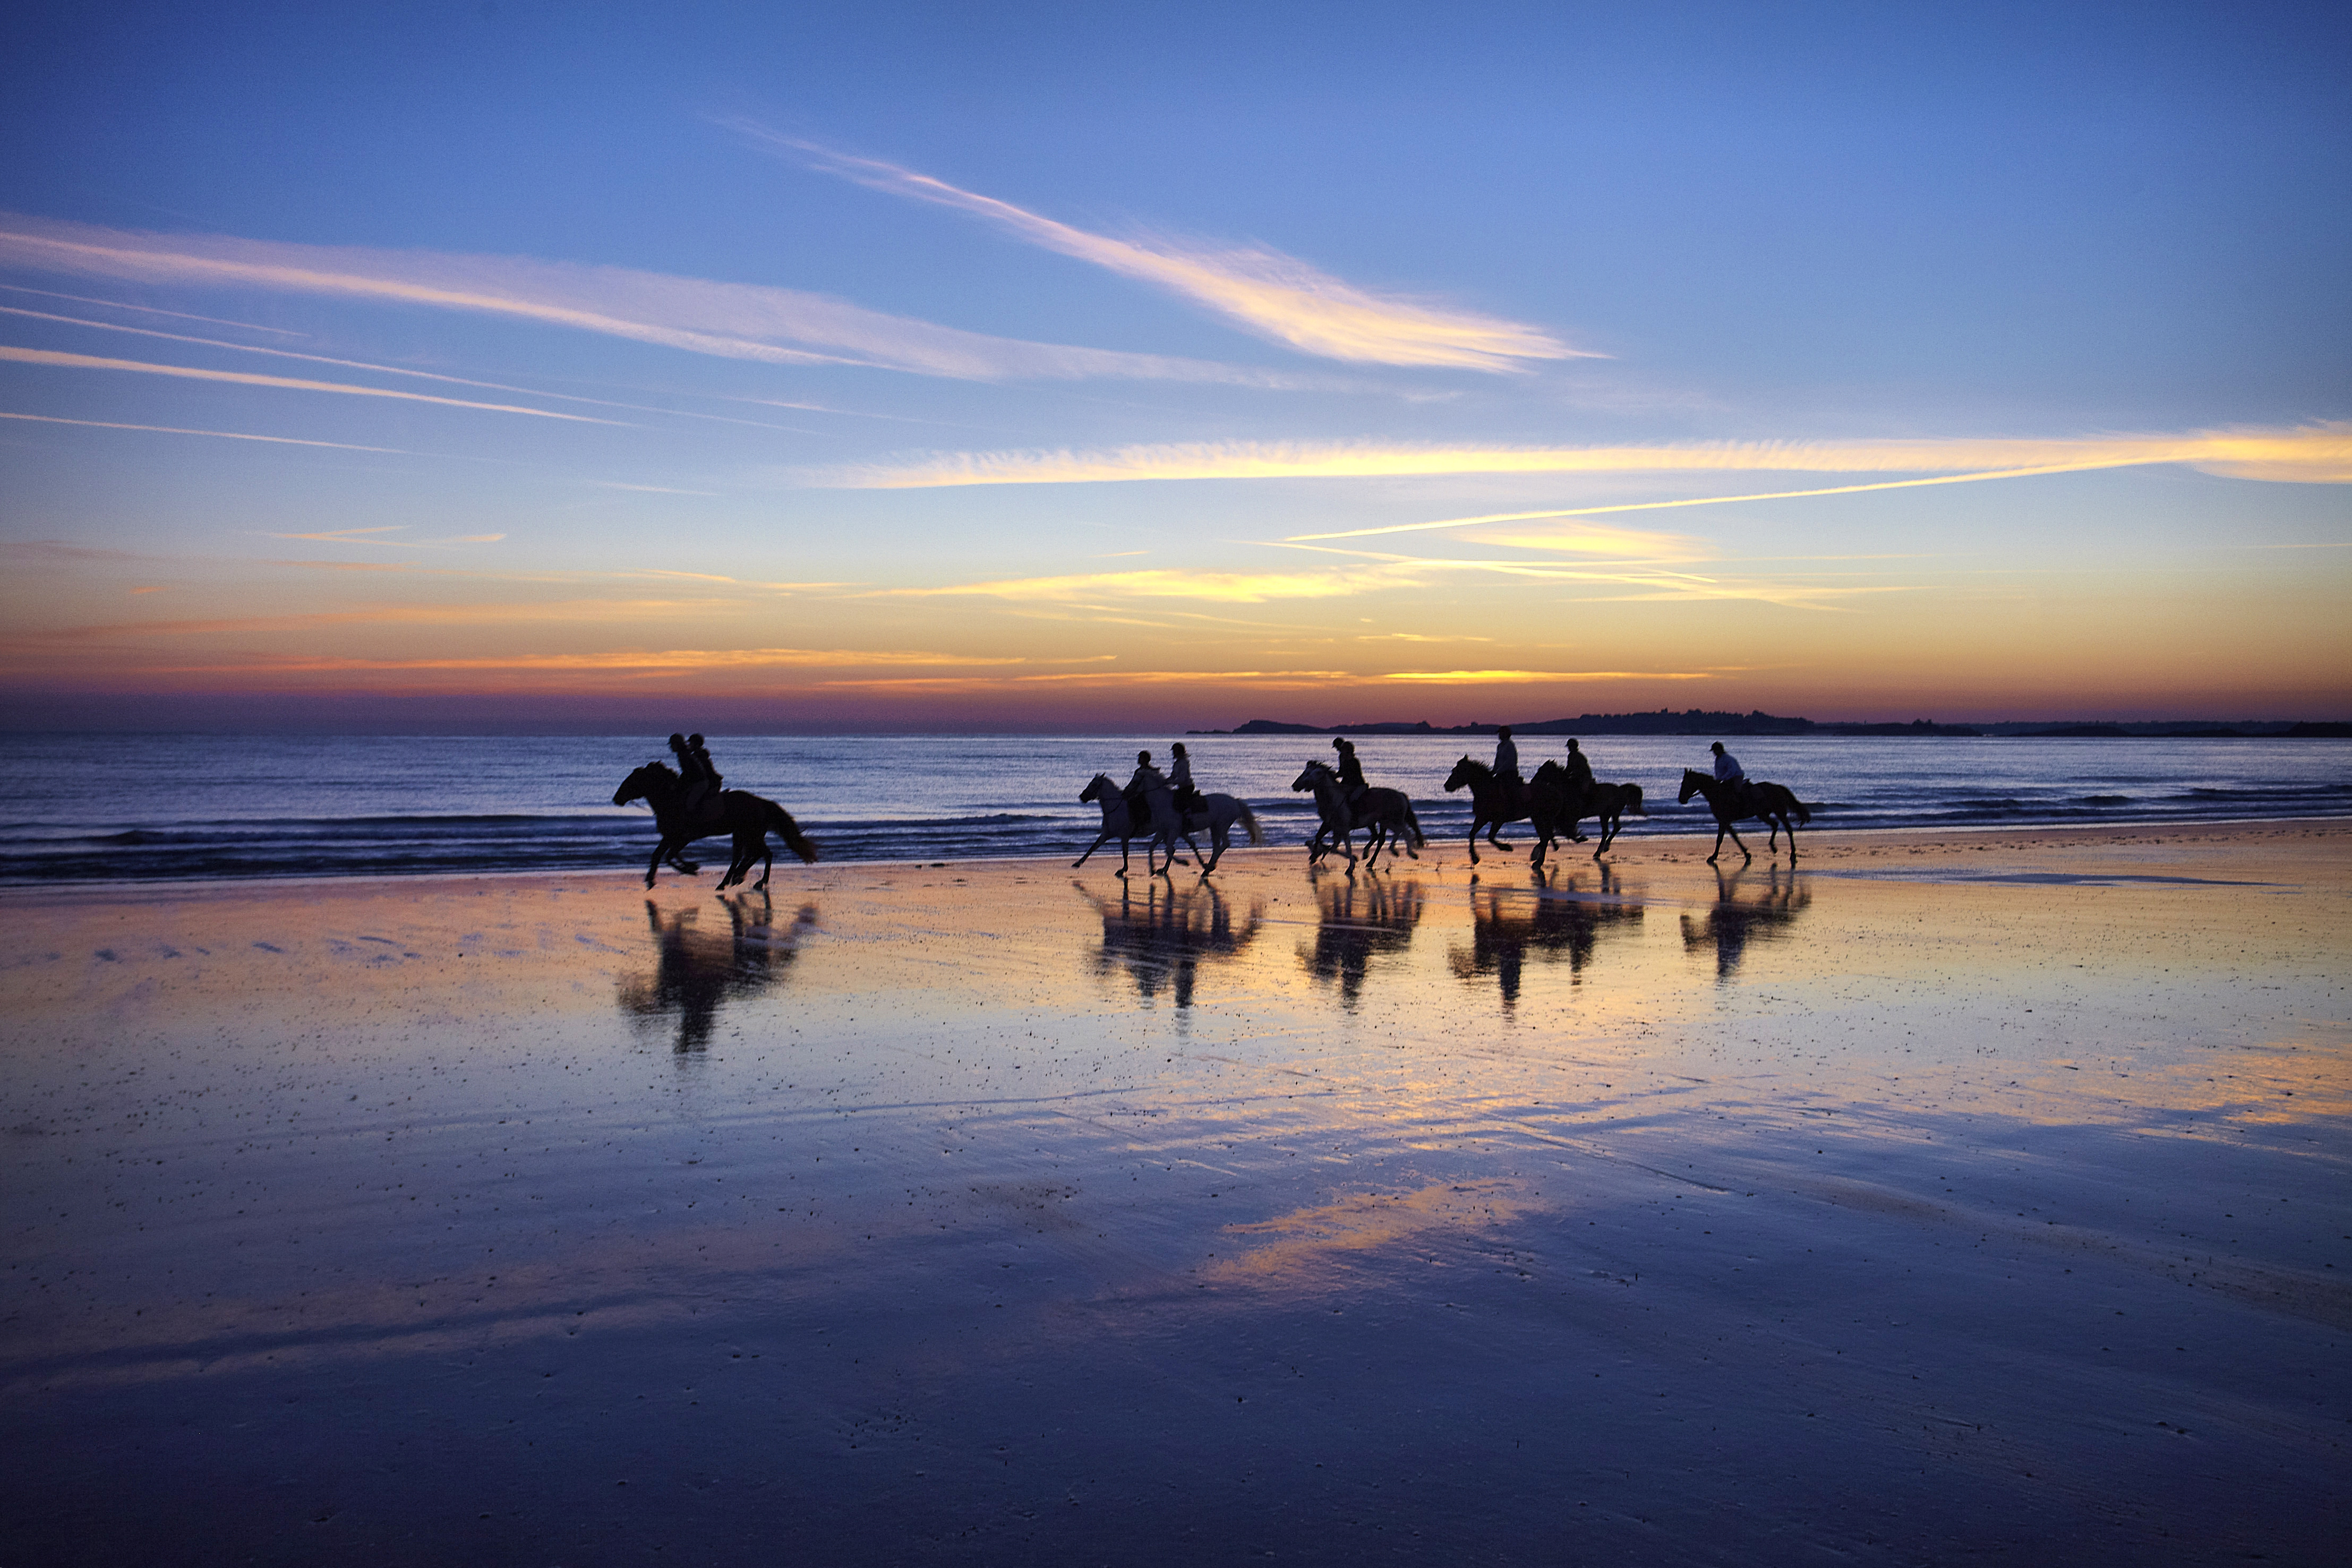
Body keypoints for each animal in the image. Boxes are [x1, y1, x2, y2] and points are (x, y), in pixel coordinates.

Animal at [611, 761, 823, 888]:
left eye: (631, 781)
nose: (616, 799)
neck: (672, 799)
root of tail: (761, 803)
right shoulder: (671, 836)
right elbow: (659, 855)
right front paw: (651, 878)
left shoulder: (682, 837)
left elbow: (669, 855)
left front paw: (690, 869)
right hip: (744, 834)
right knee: (752, 854)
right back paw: (735, 878)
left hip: (750, 834)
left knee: (761, 854)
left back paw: (750, 881)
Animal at [1077, 776, 1270, 879]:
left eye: (1094, 784)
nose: (1082, 797)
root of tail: (1235, 802)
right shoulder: (1107, 834)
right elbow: (1093, 847)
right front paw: (1078, 863)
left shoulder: (1125, 835)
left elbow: (1127, 853)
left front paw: (1124, 869)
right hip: (1209, 828)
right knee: (1208, 846)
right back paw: (1205, 867)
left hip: (1219, 826)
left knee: (1222, 845)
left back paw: (1205, 867)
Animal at [1298, 761, 1421, 870]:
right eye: (1308, 772)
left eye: (1318, 772)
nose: (1306, 782)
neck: (1334, 799)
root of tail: (1401, 795)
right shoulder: (1336, 828)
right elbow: (1334, 848)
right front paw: (1354, 859)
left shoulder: (1344, 829)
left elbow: (1346, 848)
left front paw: (1351, 866)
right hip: (1386, 822)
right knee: (1402, 832)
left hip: (1392, 820)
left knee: (1402, 831)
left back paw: (1399, 852)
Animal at [1674, 771, 1816, 865]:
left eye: (1686, 783)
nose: (1681, 799)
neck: (1717, 793)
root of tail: (1779, 787)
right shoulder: (1725, 821)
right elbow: (1734, 837)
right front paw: (1747, 854)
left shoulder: (1724, 820)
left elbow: (1720, 839)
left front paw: (1713, 857)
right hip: (1763, 814)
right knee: (1775, 825)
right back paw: (1773, 847)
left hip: (1780, 812)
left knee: (1789, 830)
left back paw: (1793, 854)